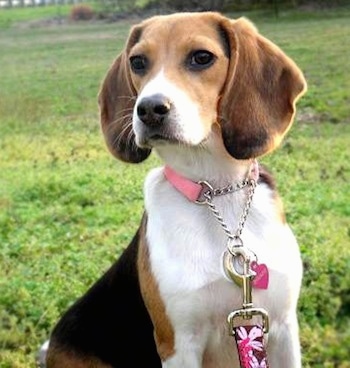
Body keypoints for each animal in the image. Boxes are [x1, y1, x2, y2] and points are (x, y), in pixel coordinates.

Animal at [45, 11, 306, 368]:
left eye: (202, 57)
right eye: (138, 62)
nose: (148, 109)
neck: (219, 191)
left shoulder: (282, 328)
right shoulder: (178, 343)